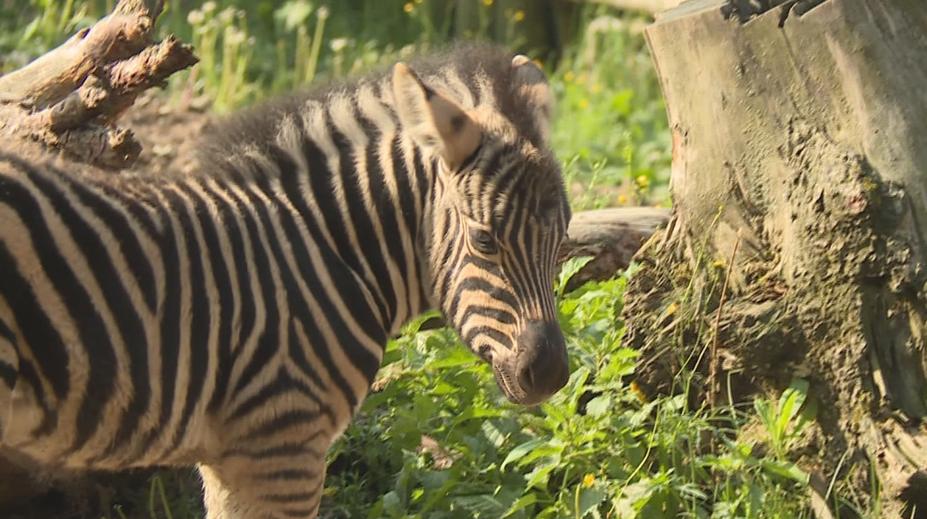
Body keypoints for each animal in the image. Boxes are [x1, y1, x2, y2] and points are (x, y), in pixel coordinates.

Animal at [0, 44, 571, 518]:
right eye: (484, 241)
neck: (329, 251)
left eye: (563, 240)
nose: (550, 376)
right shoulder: (280, 445)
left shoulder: (231, 457)